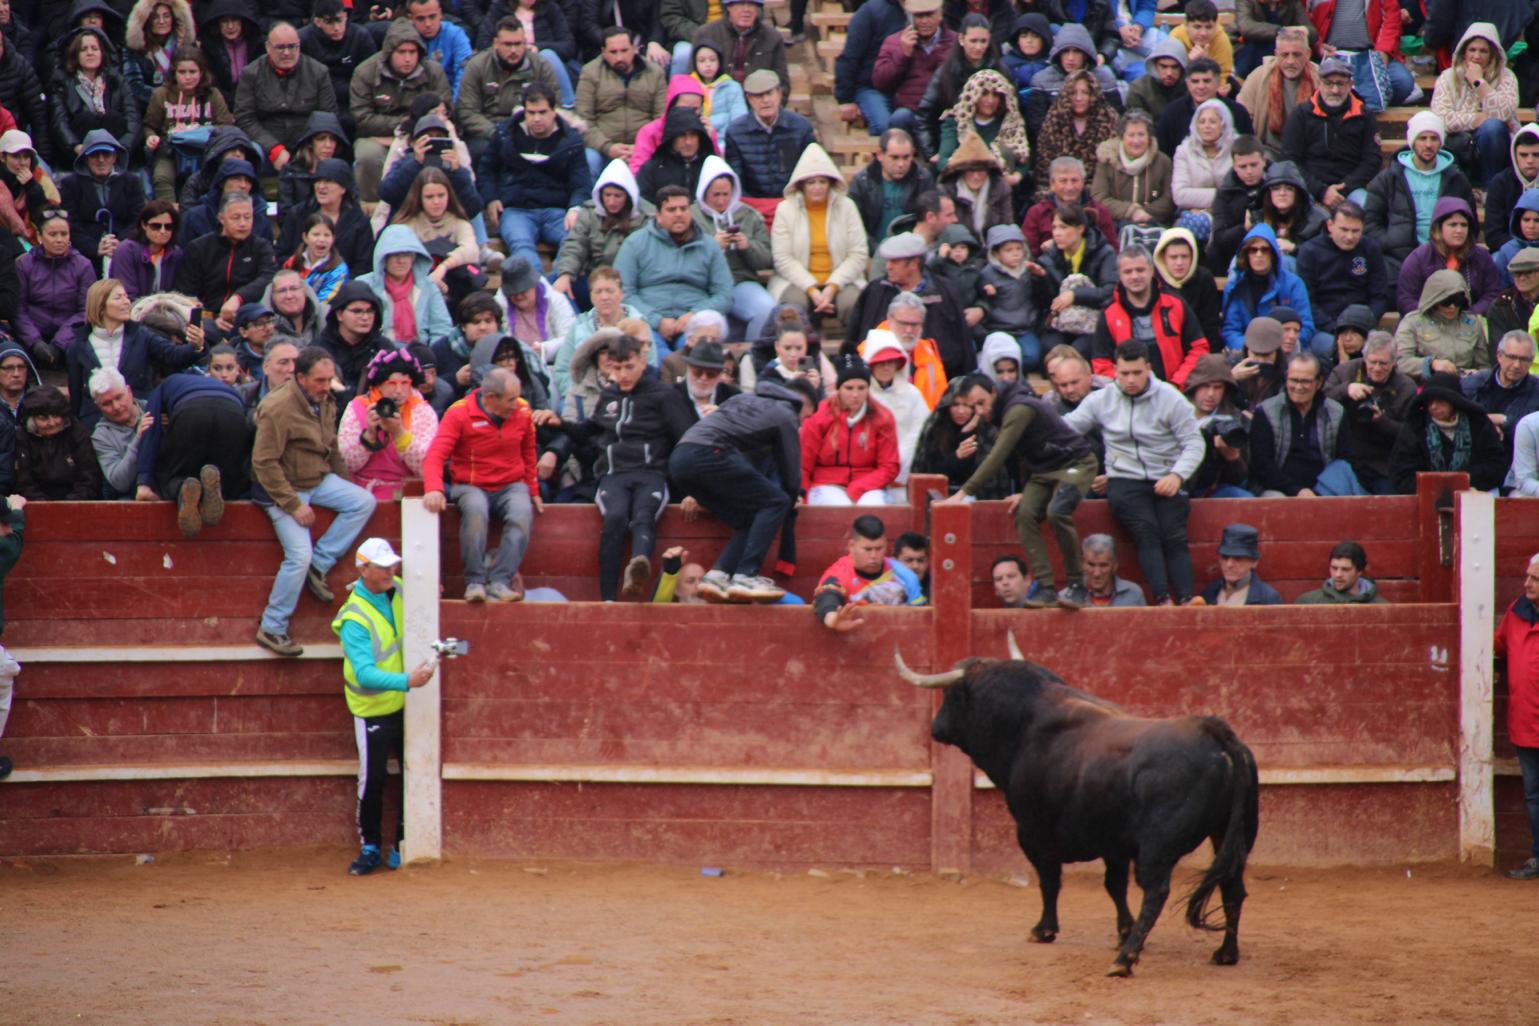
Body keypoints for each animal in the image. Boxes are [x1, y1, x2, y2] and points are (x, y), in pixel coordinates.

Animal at [898, 633, 1255, 978]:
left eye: (951, 696)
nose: (935, 727)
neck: (1026, 722)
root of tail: (1215, 732)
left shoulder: (1032, 830)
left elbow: (1049, 879)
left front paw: (1044, 930)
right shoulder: (1113, 841)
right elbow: (1114, 885)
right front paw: (1122, 931)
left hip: (1158, 847)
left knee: (1156, 892)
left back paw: (1125, 960)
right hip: (1230, 836)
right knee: (1232, 887)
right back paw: (1225, 953)